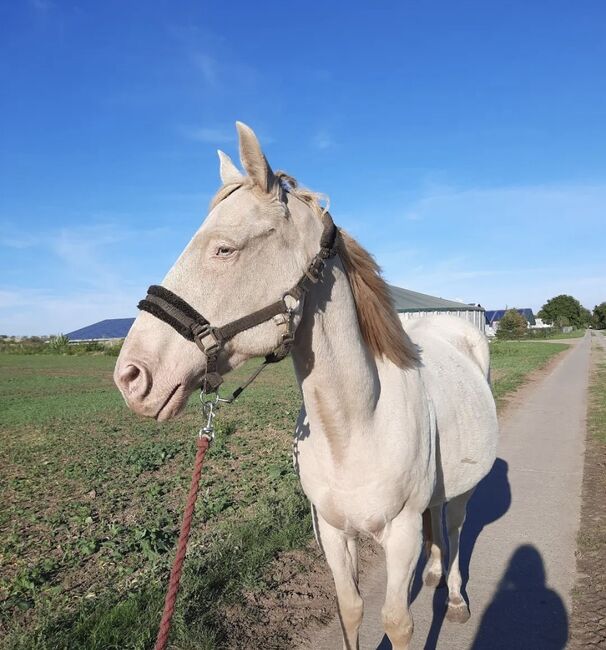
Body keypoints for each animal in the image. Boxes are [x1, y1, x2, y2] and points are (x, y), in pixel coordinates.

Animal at [115, 123, 498, 648]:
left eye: (224, 248)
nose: (131, 375)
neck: (357, 426)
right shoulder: (333, 533)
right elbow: (351, 610)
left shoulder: (399, 535)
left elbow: (397, 621)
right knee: (437, 524)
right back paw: (436, 573)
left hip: (462, 491)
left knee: (456, 528)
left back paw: (456, 597)